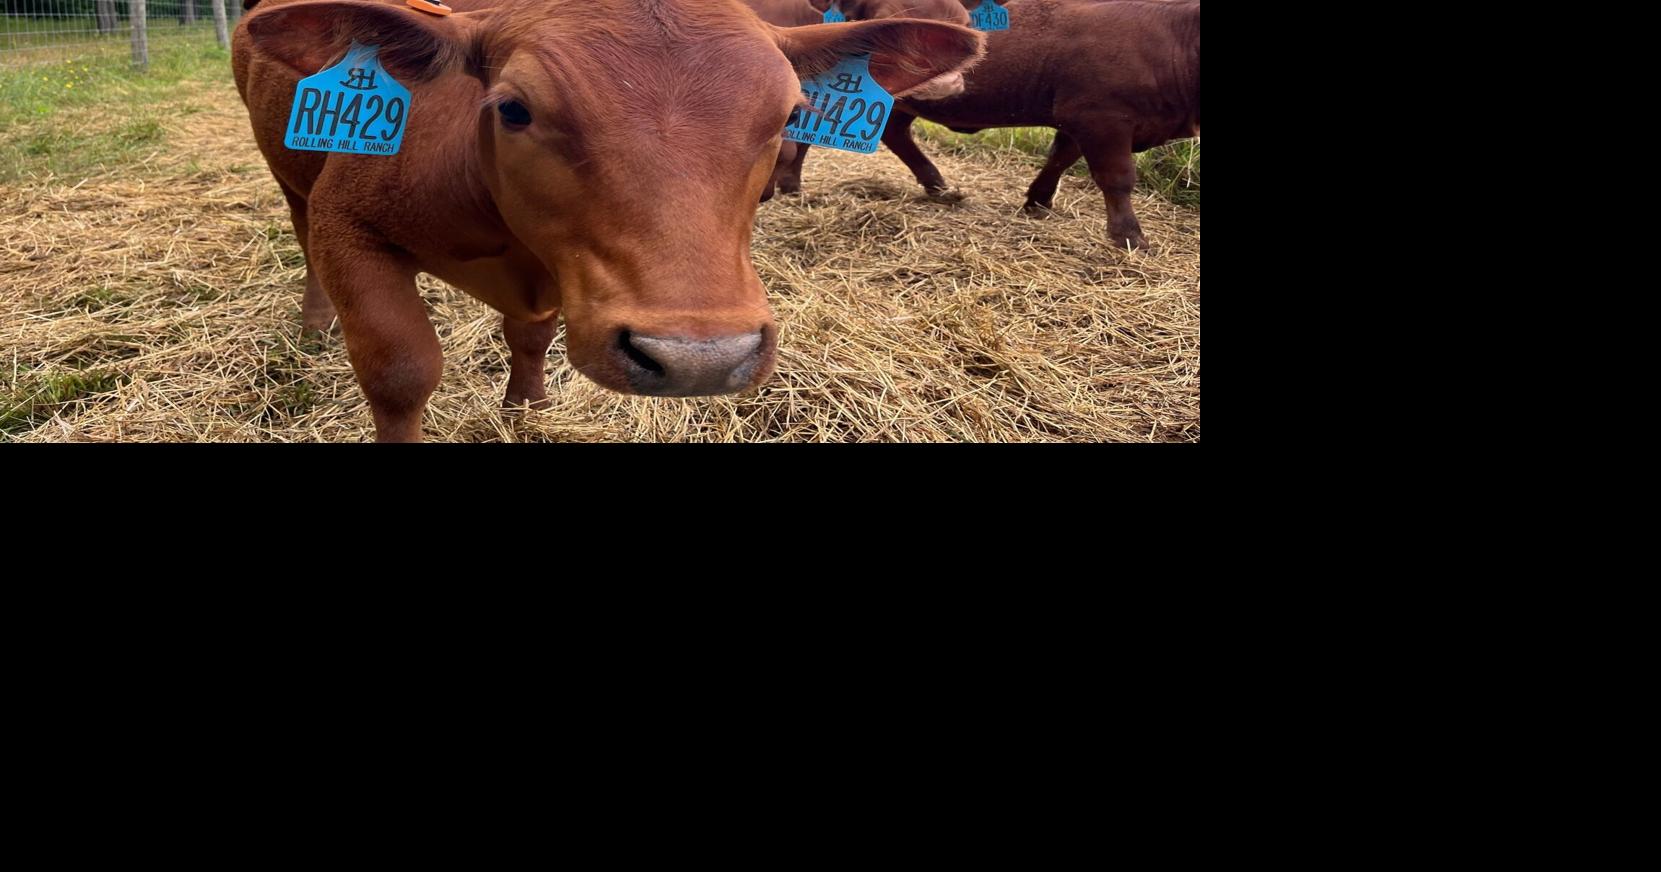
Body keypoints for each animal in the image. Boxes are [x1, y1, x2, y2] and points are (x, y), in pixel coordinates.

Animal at [233, 0, 983, 441]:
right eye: (514, 109)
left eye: (792, 113)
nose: (701, 358)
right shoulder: (348, 223)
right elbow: (402, 370)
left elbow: (531, 336)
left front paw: (527, 409)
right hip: (290, 179)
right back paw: (314, 324)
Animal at [884, 0, 1200, 249]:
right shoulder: (1102, 120)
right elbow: (1117, 179)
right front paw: (1130, 236)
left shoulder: (1078, 121)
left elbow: (1060, 159)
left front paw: (1038, 200)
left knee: (895, 134)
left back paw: (936, 184)